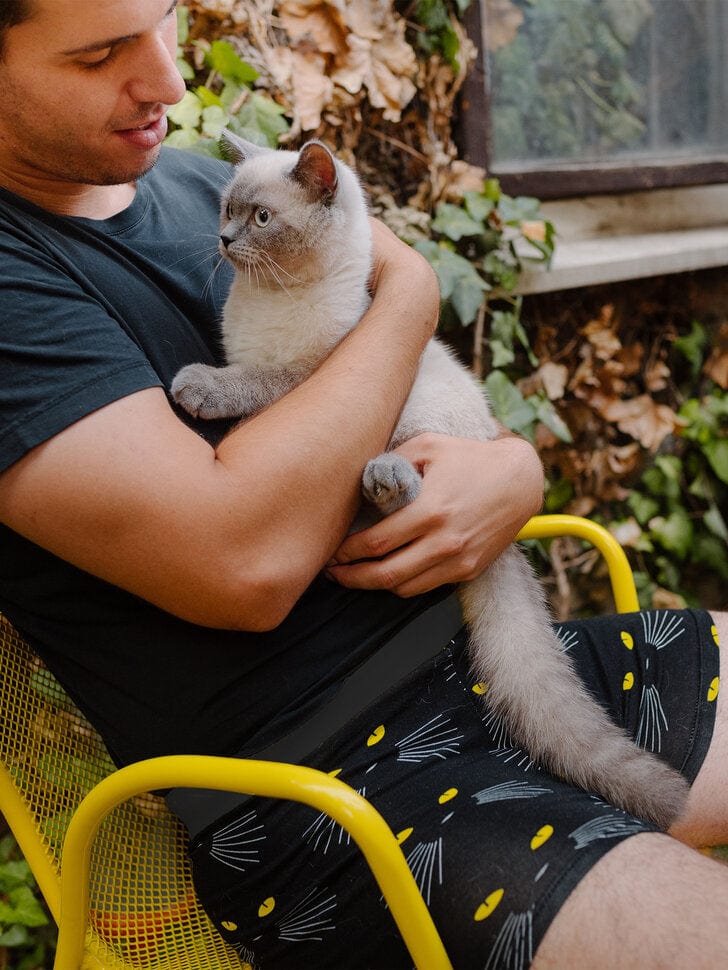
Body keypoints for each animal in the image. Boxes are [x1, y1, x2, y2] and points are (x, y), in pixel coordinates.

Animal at [171, 129, 688, 824]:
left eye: (261, 218)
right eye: (227, 209)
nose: (225, 240)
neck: (270, 302)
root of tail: (498, 547)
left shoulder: (305, 380)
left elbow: (250, 386)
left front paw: (199, 392)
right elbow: (243, 382)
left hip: (413, 416)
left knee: (396, 491)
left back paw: (382, 480)